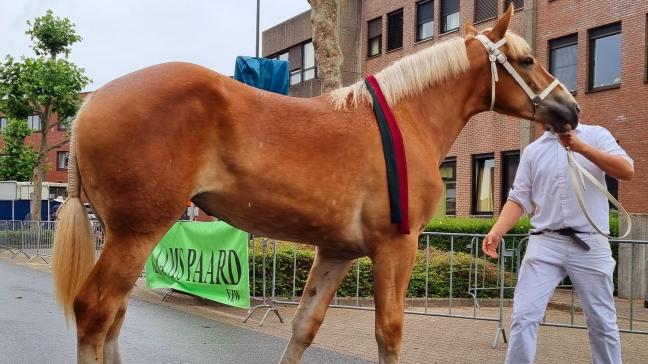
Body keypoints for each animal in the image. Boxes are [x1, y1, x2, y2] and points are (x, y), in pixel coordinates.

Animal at [50, 7, 576, 364]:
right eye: (527, 60)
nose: (570, 109)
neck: (406, 118)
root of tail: (92, 104)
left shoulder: (336, 252)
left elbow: (305, 327)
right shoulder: (396, 248)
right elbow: (389, 332)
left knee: (114, 316)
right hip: (137, 233)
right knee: (96, 311)